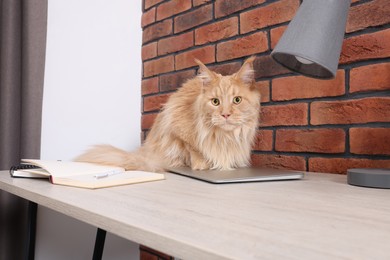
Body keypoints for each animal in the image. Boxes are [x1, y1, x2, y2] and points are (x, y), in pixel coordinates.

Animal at [74, 55, 260, 172]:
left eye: (237, 100)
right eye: (215, 102)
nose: (225, 114)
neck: (224, 137)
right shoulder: (177, 124)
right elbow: (194, 149)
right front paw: (201, 165)